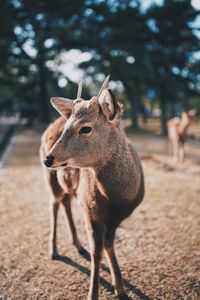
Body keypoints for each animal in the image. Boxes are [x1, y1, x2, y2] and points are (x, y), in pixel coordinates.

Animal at [39, 77, 145, 300]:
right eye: (67, 127)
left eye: (85, 128)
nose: (48, 159)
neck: (116, 200)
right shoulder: (91, 211)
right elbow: (97, 251)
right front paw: (93, 293)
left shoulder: (117, 217)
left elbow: (109, 244)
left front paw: (119, 287)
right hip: (52, 181)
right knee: (54, 204)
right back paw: (53, 250)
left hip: (70, 188)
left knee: (66, 202)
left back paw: (78, 246)